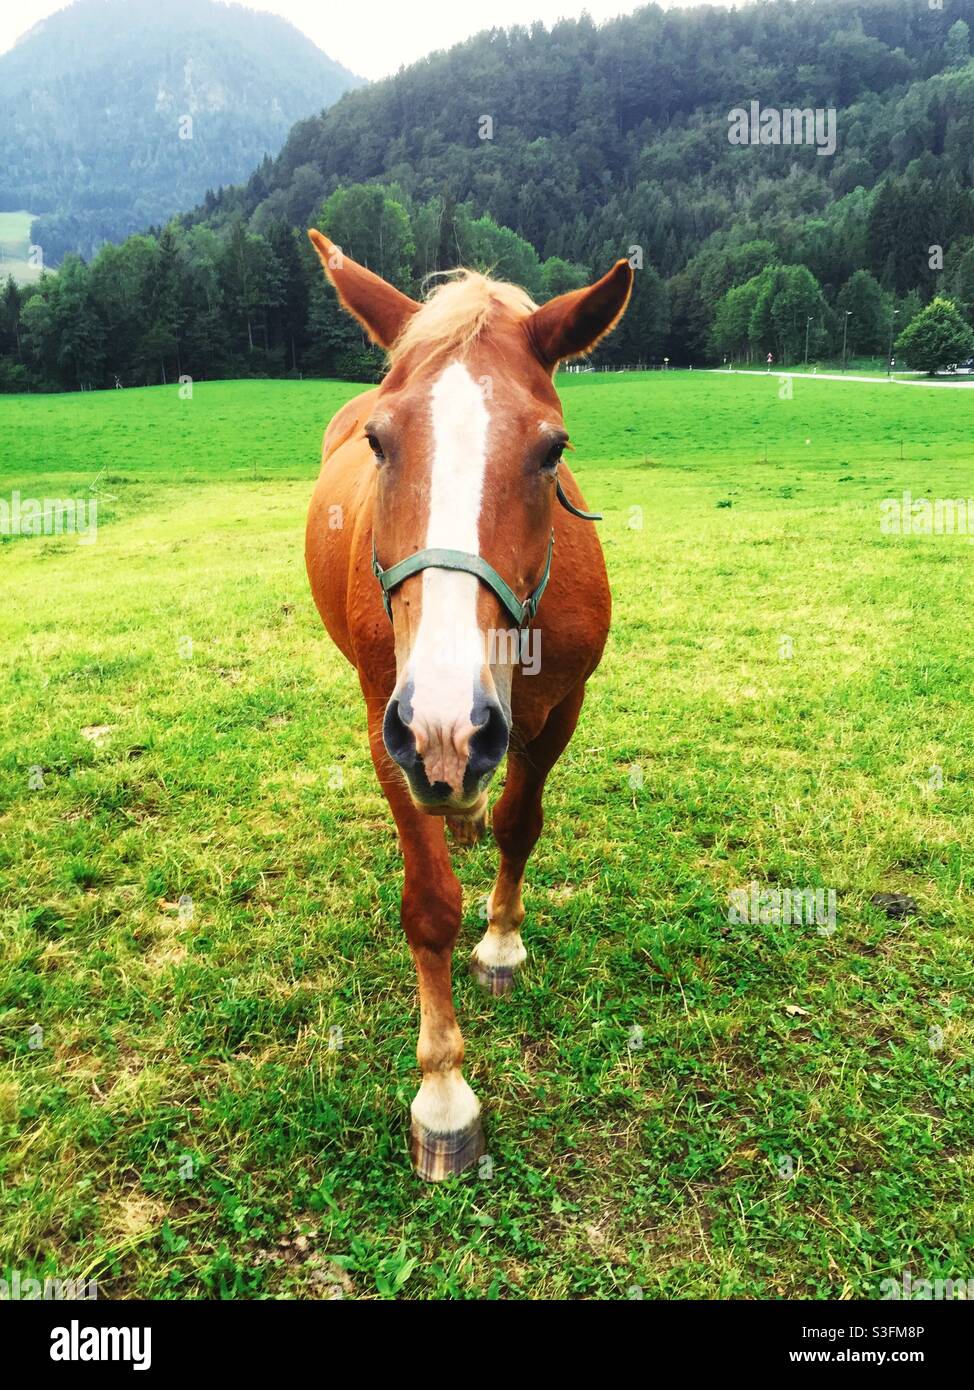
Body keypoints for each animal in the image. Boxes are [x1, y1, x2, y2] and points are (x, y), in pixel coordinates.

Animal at [305, 229, 632, 1179]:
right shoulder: (392, 729)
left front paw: (501, 941)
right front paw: (444, 1092)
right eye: (379, 443)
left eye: (552, 450)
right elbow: (428, 905)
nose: (448, 728)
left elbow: (522, 823)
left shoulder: (558, 712)